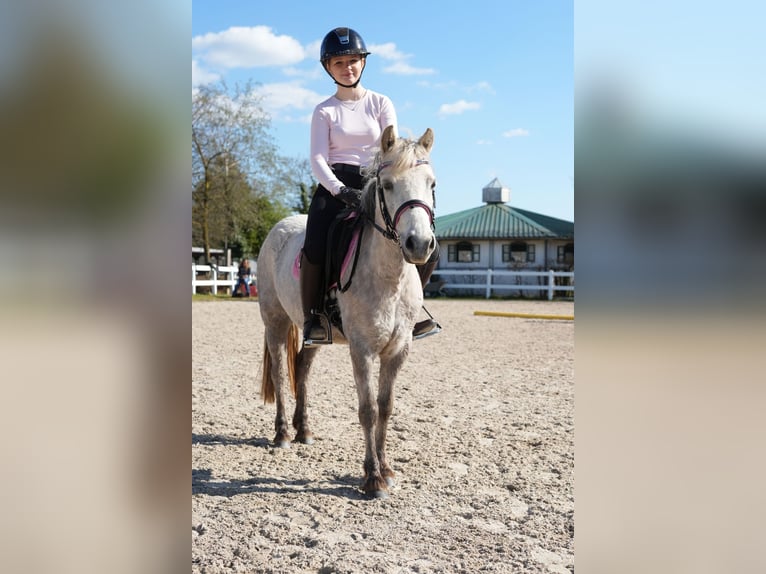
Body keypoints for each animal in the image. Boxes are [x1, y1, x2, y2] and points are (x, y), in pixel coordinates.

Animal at [257, 125, 437, 499]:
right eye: (387, 185)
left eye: (431, 183)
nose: (419, 244)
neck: (389, 278)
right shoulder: (362, 349)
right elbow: (367, 409)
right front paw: (372, 478)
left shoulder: (398, 350)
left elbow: (386, 407)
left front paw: (387, 469)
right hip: (275, 321)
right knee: (281, 372)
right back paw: (282, 434)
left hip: (313, 332)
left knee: (302, 369)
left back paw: (303, 430)